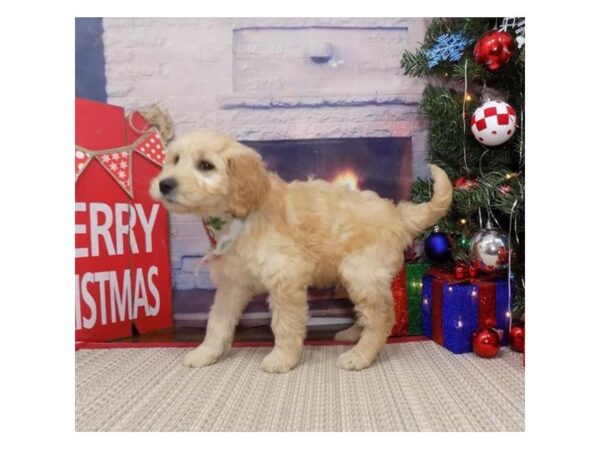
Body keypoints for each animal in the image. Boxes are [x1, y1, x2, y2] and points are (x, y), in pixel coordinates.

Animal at [152, 129, 452, 372]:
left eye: (205, 166)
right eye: (175, 160)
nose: (165, 184)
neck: (239, 218)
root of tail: (397, 214)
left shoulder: (285, 276)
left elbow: (285, 324)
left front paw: (282, 359)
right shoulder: (233, 283)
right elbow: (217, 321)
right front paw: (205, 353)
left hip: (361, 271)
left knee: (381, 316)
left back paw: (361, 355)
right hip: (355, 276)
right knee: (369, 312)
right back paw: (353, 334)